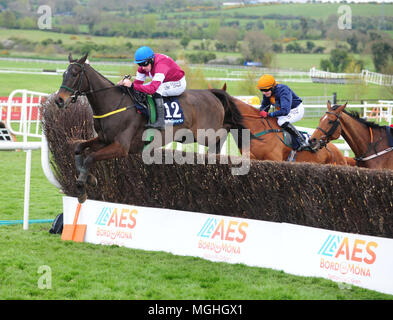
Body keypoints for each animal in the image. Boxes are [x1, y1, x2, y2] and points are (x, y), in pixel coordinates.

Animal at [54, 53, 239, 201]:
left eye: (75, 74)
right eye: (63, 74)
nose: (59, 100)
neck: (113, 104)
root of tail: (211, 94)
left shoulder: (121, 147)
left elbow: (90, 157)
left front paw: (83, 184)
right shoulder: (103, 140)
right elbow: (78, 148)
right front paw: (87, 178)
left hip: (205, 133)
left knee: (224, 131)